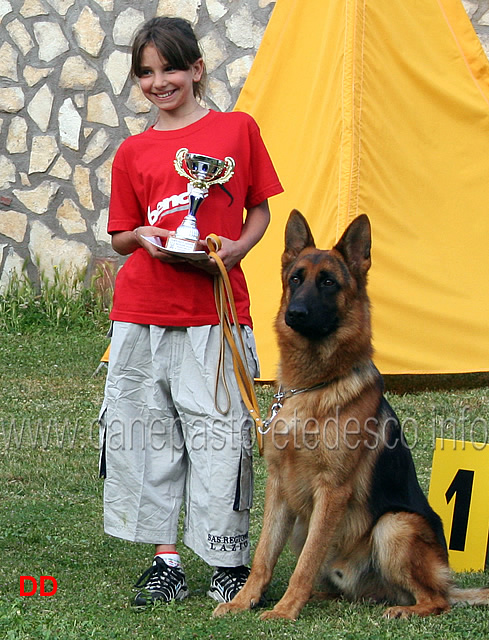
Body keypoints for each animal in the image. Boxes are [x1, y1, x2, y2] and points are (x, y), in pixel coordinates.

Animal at [215, 211, 488, 620]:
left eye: (328, 282)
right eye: (296, 279)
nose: (295, 313)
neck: (313, 387)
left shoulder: (332, 490)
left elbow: (306, 562)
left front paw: (284, 610)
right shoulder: (279, 486)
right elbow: (264, 554)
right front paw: (244, 600)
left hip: (394, 525)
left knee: (436, 599)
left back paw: (404, 609)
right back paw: (322, 597)